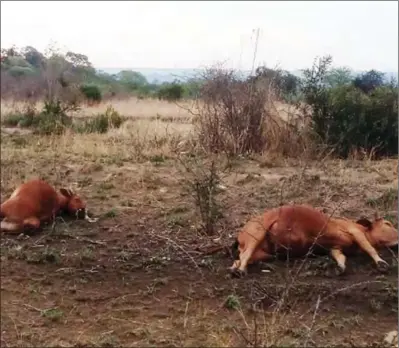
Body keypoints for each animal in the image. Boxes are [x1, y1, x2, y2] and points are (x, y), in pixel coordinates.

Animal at [230, 204, 398, 278]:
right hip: (256, 233)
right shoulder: (355, 231)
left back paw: (235, 269)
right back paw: (240, 271)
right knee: (245, 256)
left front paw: (340, 267)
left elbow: (341, 257)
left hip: (263, 253)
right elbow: (369, 248)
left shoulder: (335, 247)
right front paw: (381, 263)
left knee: (240, 258)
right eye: (387, 223)